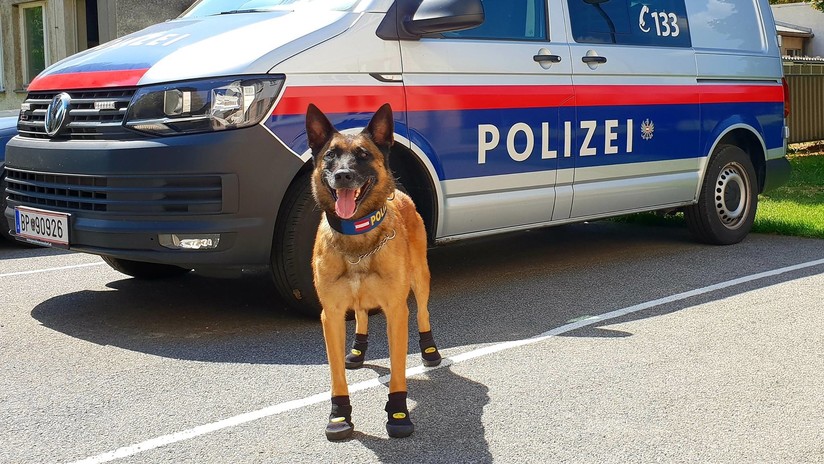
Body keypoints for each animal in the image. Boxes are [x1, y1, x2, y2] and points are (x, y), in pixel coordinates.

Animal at [306, 103, 440, 440]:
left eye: (363, 155)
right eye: (330, 155)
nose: (343, 175)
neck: (357, 240)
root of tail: (400, 194)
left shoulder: (396, 311)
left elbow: (397, 369)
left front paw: (398, 413)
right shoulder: (331, 314)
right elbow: (336, 375)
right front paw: (339, 415)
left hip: (420, 280)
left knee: (423, 313)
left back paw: (430, 350)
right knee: (361, 314)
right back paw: (357, 349)